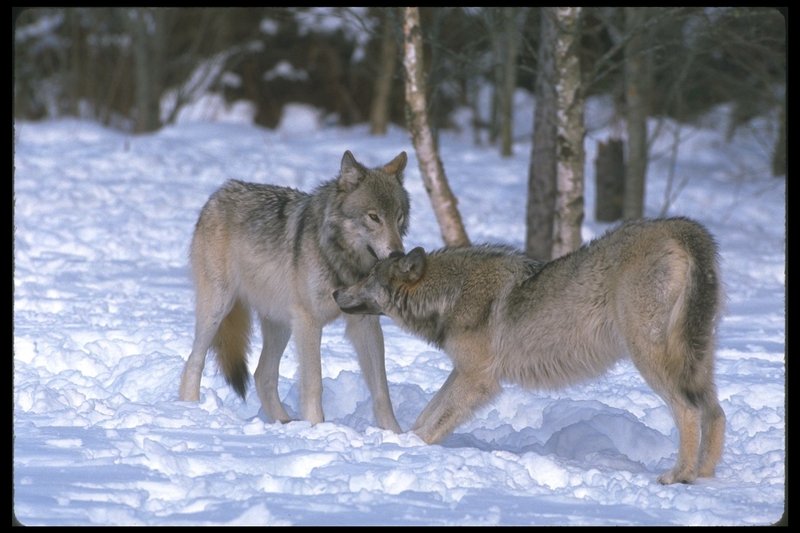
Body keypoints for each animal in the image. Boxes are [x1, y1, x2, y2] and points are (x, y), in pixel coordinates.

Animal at [179, 150, 410, 432]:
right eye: (374, 217)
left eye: (399, 218)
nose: (398, 254)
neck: (341, 260)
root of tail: (218, 193)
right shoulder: (308, 321)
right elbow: (314, 382)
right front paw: (316, 427)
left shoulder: (364, 323)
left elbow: (381, 389)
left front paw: (395, 434)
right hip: (218, 309)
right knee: (194, 361)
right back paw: (190, 411)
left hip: (281, 325)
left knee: (262, 374)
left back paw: (284, 422)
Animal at [332, 215, 724, 482]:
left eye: (367, 278)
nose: (335, 292)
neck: (449, 295)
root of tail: (683, 229)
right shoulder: (464, 372)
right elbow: (426, 414)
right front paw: (401, 441)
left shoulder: (478, 380)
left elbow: (432, 424)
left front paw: (406, 447)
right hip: (696, 363)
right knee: (716, 413)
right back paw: (703, 477)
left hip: (650, 358)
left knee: (690, 410)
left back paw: (679, 476)